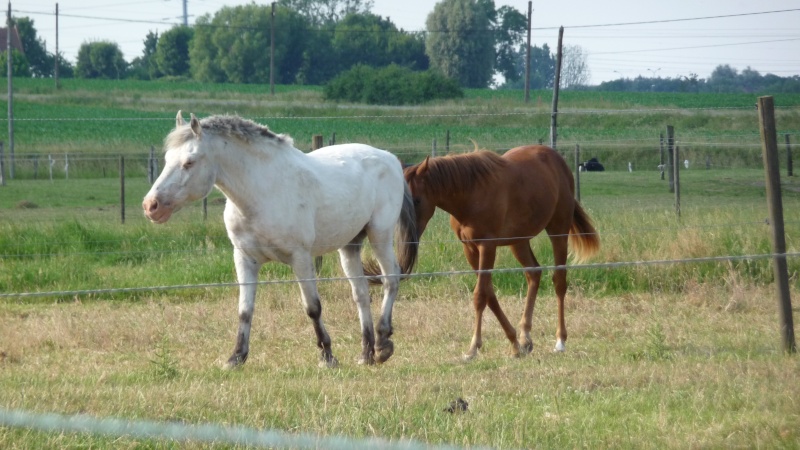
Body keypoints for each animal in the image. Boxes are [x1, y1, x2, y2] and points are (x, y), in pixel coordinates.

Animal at [143, 110, 418, 368]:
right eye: (167, 160)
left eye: (189, 162)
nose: (151, 206)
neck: (263, 192)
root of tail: (390, 158)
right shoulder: (244, 258)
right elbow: (245, 310)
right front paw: (235, 358)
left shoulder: (301, 258)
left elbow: (313, 307)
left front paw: (327, 356)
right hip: (350, 245)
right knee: (360, 293)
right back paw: (366, 354)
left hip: (379, 234)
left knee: (391, 279)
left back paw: (383, 344)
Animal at [406, 146, 600, 360]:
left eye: (416, 200)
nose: (409, 236)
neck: (470, 193)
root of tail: (557, 159)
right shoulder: (470, 249)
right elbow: (489, 295)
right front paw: (515, 344)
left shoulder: (487, 246)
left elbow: (480, 295)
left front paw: (473, 348)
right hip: (519, 241)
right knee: (533, 273)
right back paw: (525, 336)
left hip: (558, 231)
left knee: (559, 281)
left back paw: (560, 341)